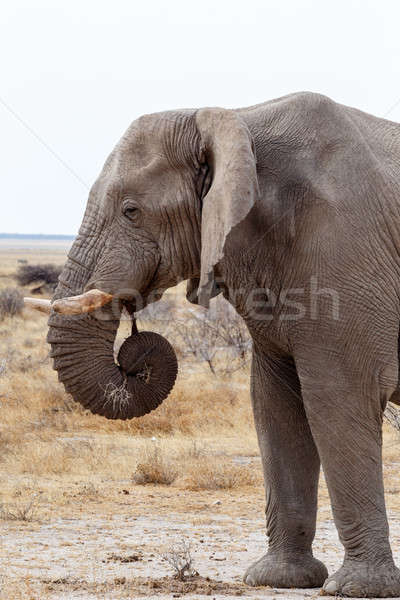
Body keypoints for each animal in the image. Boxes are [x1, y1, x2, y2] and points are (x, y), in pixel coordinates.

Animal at [28, 91, 400, 596]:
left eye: (131, 210)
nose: (133, 354)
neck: (238, 120)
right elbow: (275, 404)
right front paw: (278, 579)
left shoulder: (344, 247)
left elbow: (336, 400)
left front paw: (359, 588)